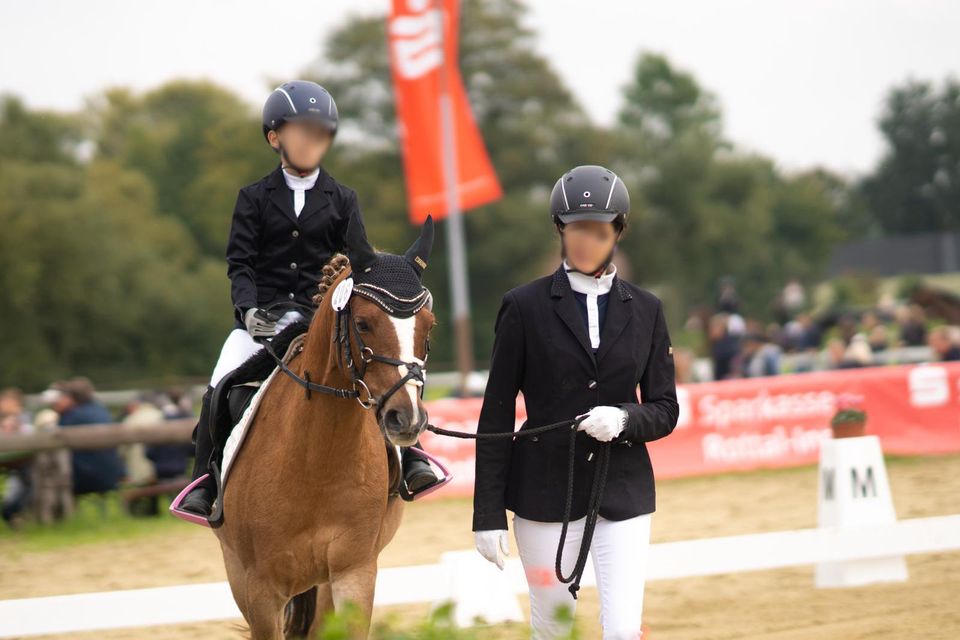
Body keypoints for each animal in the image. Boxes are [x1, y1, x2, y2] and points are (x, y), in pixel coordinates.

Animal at [214, 216, 438, 640]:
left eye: (428, 328)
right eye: (363, 323)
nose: (408, 419)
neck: (317, 460)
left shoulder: (355, 573)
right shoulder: (259, 589)